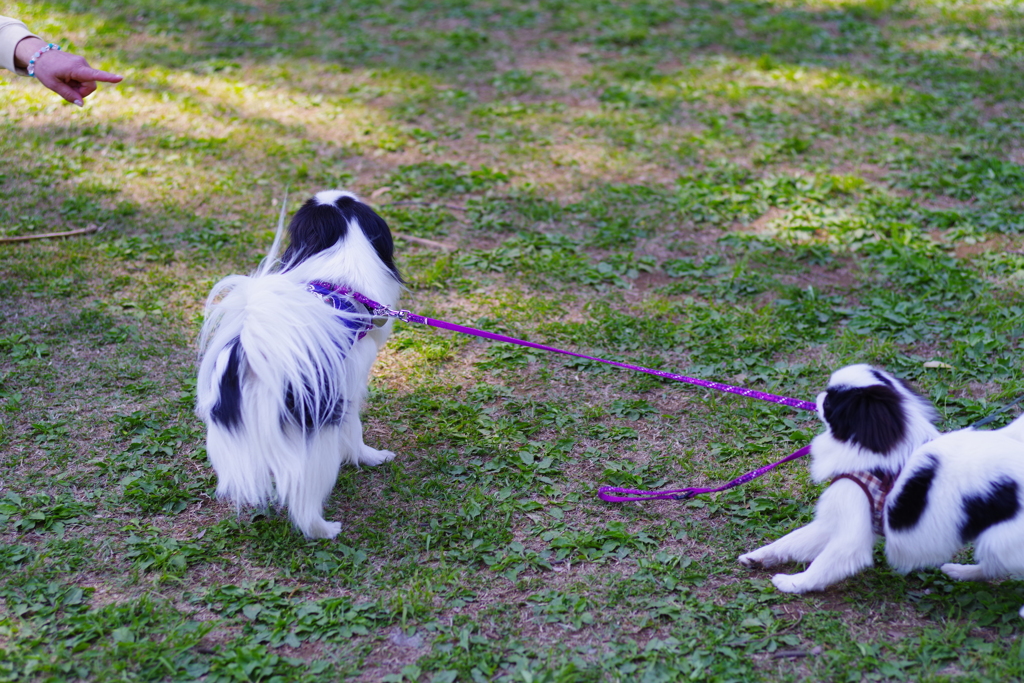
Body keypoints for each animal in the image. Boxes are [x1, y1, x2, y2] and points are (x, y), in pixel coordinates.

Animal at [741, 366, 937, 593]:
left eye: (829, 403)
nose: (819, 395)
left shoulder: (850, 531)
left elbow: (822, 565)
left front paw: (793, 583)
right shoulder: (832, 521)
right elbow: (791, 540)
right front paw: (758, 556)